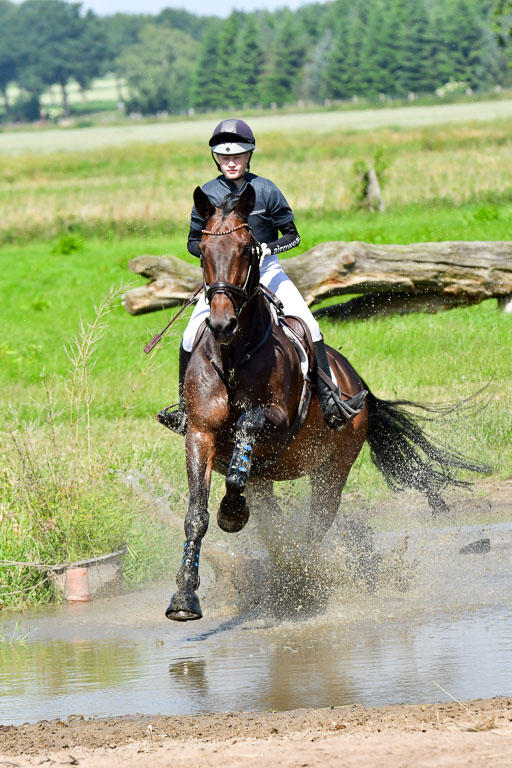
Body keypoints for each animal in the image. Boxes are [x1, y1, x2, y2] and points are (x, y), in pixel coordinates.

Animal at [166, 183, 485, 622]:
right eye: (204, 252)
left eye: (248, 249)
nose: (221, 323)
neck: (234, 356)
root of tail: (358, 382)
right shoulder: (200, 433)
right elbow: (196, 515)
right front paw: (184, 597)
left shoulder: (278, 421)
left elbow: (248, 424)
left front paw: (230, 514)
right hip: (267, 477)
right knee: (272, 517)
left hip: (333, 469)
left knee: (316, 524)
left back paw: (304, 583)